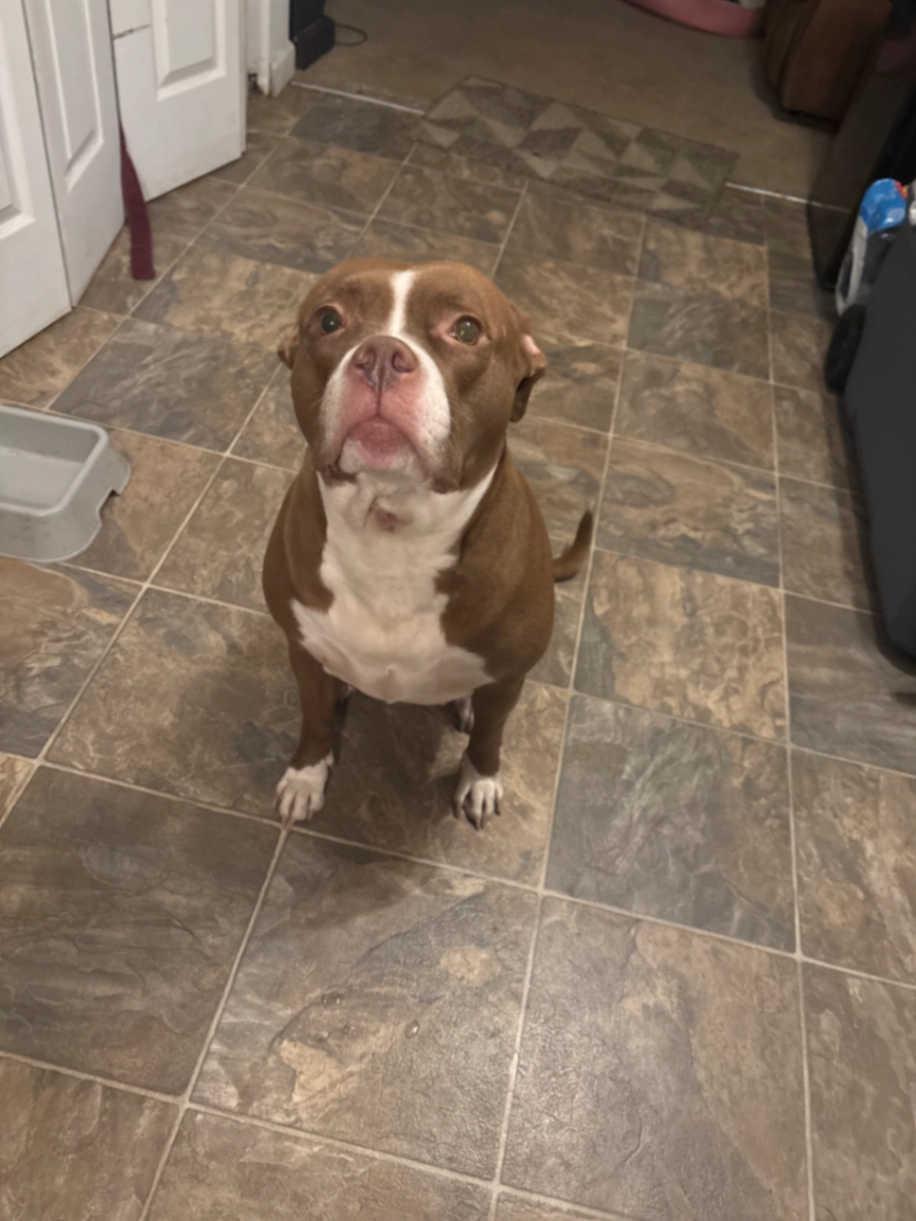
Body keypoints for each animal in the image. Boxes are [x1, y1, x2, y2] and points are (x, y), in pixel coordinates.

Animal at [263, 258, 592, 830]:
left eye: (467, 329)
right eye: (329, 320)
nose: (380, 356)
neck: (394, 532)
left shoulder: (510, 678)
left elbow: (491, 736)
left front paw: (479, 782)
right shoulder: (301, 648)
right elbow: (314, 719)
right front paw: (306, 776)